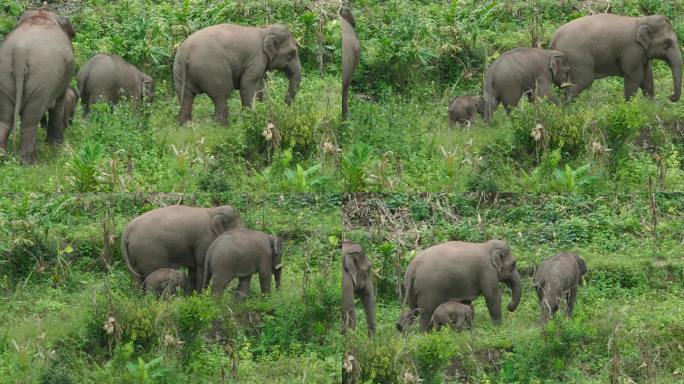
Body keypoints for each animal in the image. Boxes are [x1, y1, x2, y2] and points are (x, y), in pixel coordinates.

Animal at [0, 10, 75, 164]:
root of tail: (20, 52)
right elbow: (58, 104)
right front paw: (56, 145)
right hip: (42, 79)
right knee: (30, 120)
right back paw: (30, 163)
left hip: (5, 74)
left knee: (5, 118)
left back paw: (2, 156)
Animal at [172, 23, 300, 125]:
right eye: (292, 53)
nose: (284, 107)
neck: (263, 30)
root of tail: (186, 55)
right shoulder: (256, 58)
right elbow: (247, 85)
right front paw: (251, 119)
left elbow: (259, 85)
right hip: (211, 69)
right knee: (221, 95)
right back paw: (224, 126)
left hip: (178, 72)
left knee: (186, 97)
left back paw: (186, 126)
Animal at [552, 14, 680, 103]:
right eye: (667, 42)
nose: (670, 96)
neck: (641, 20)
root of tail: (554, 38)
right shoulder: (632, 50)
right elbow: (635, 77)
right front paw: (629, 107)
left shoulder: (642, 53)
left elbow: (647, 75)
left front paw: (652, 106)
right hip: (576, 57)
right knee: (582, 81)